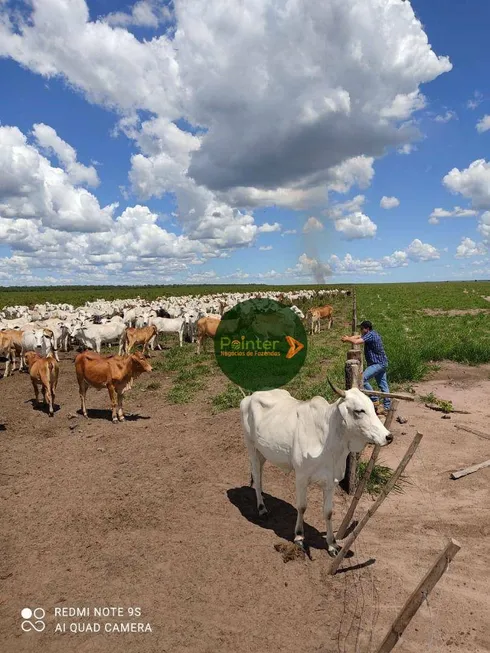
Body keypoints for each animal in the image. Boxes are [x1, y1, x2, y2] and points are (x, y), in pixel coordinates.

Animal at [239, 376, 392, 556]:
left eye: (372, 408)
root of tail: (250, 397)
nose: (388, 437)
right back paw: (262, 507)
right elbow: (302, 507)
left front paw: (332, 545)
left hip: (263, 452)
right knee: (256, 475)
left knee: (260, 473)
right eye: (359, 411)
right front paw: (299, 537)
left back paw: (262, 495)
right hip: (251, 446)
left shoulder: (331, 481)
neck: (329, 442)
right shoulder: (301, 477)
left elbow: (328, 512)